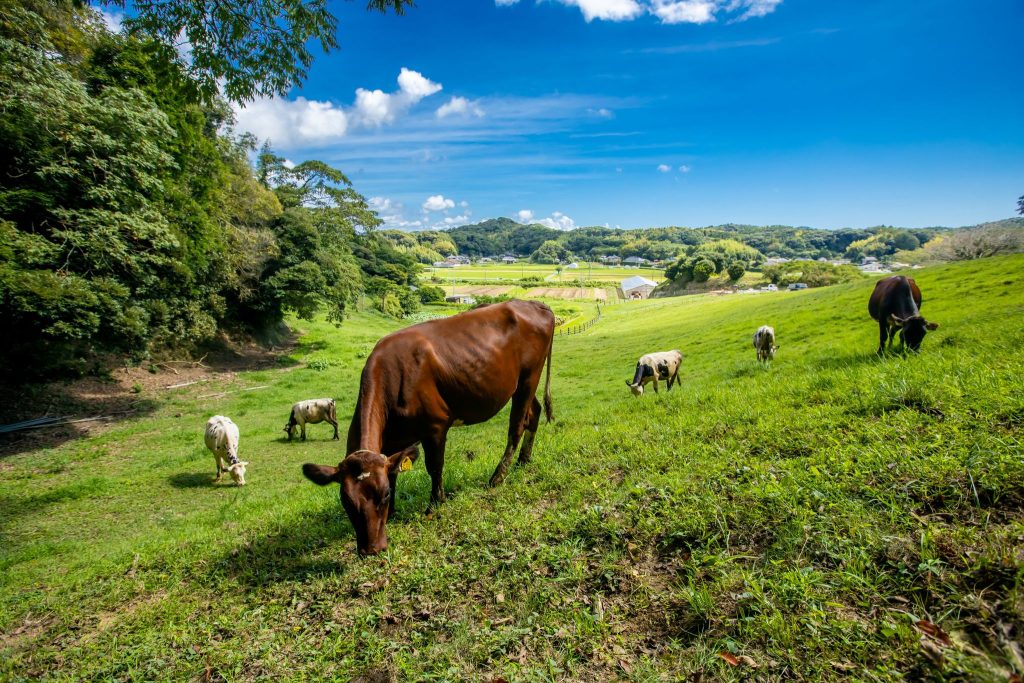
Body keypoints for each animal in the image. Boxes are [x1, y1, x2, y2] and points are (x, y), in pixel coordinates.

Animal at [301, 301, 557, 557]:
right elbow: (393, 471)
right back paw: (524, 459)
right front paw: (393, 513)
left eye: (383, 495)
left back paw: (498, 476)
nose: (371, 549)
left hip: (529, 377)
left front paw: (435, 503)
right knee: (534, 413)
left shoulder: (435, 427)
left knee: (517, 425)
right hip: (521, 384)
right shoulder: (392, 443)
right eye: (346, 501)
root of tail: (534, 304)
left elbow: (434, 466)